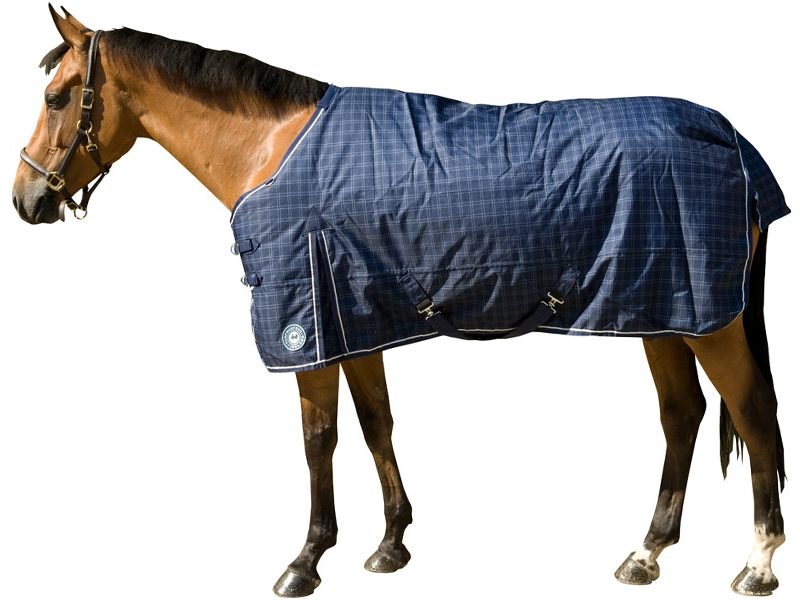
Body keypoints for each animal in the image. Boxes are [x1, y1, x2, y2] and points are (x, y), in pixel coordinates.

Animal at [11, 7, 787, 597]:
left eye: (58, 97)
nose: (26, 200)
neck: (273, 148)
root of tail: (730, 137)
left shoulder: (308, 327)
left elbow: (318, 438)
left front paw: (305, 560)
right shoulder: (355, 319)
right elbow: (375, 424)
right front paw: (390, 544)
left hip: (707, 321)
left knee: (752, 414)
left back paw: (757, 563)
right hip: (663, 310)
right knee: (682, 415)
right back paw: (646, 552)